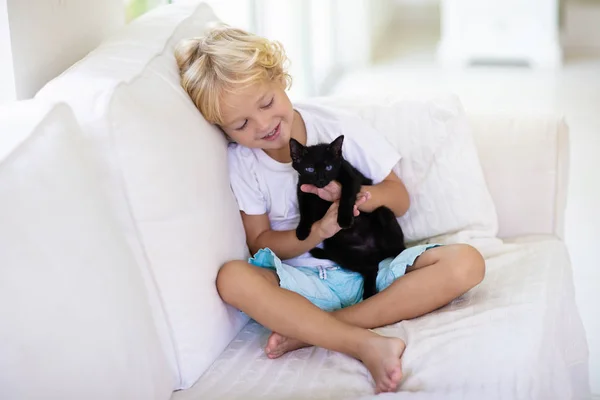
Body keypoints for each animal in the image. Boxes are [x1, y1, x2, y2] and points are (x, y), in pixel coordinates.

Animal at [288, 136, 406, 298]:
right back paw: (369, 293)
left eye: (328, 167)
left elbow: (346, 196)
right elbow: (304, 211)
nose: (321, 180)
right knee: (370, 268)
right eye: (310, 169)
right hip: (340, 251)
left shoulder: (350, 177)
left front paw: (343, 219)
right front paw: (302, 231)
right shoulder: (302, 189)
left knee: (398, 250)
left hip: (384, 214)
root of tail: (375, 252)